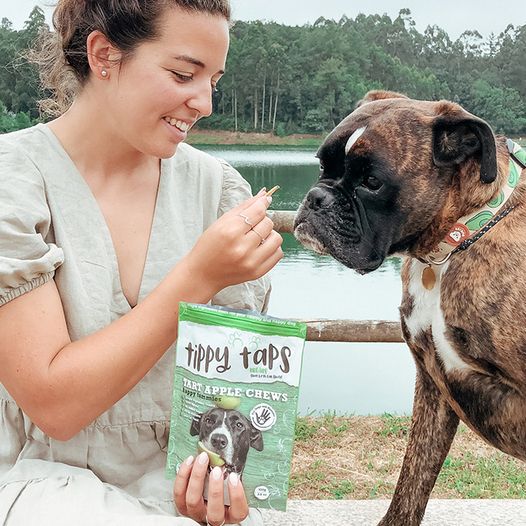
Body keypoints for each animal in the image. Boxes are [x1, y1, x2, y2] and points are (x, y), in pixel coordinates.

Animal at [294, 88, 526, 524]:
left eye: (372, 182)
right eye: (321, 165)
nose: (317, 196)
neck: (454, 242)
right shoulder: (432, 383)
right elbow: (411, 484)